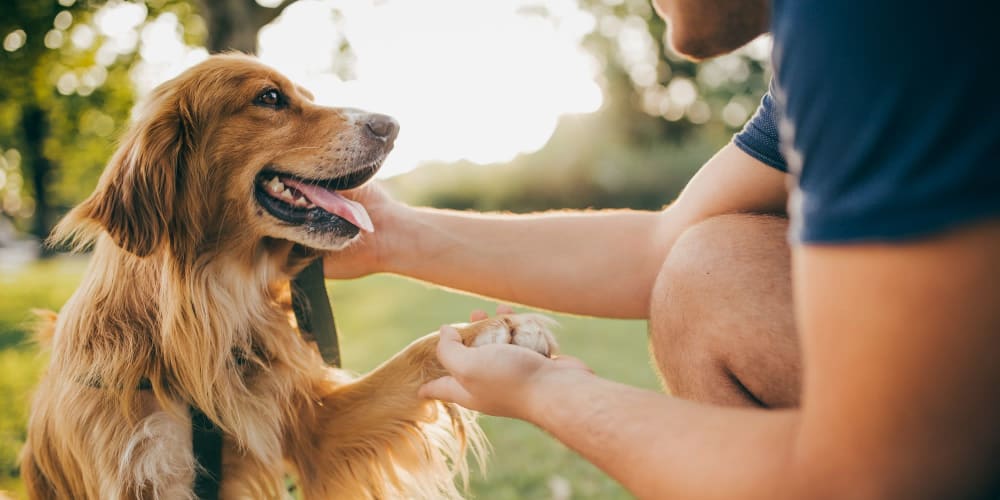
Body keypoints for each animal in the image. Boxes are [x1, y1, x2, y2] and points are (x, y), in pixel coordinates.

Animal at [19, 54, 560, 500]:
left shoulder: (313, 428)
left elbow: (411, 358)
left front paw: (494, 332)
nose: (392, 125)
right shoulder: (139, 471)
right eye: (270, 98)